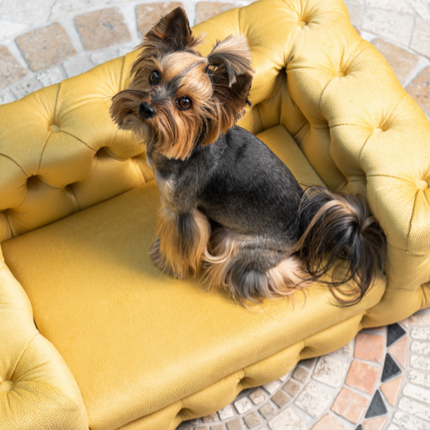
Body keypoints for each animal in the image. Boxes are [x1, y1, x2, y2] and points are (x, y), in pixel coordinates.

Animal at [109, 5, 384, 304]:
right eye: (154, 76)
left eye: (184, 103)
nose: (145, 108)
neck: (188, 148)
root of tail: (305, 228)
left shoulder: (181, 210)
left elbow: (180, 243)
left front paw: (169, 263)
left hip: (245, 246)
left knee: (272, 271)